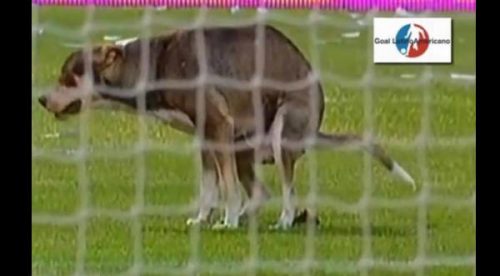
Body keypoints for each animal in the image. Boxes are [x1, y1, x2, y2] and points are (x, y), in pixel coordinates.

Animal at [38, 24, 414, 230]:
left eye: (68, 77)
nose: (41, 100)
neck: (150, 67)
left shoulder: (217, 126)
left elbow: (228, 188)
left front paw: (227, 221)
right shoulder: (207, 138)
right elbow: (210, 187)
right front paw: (203, 219)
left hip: (280, 136)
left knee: (287, 192)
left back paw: (281, 221)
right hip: (243, 146)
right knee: (262, 192)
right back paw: (252, 217)